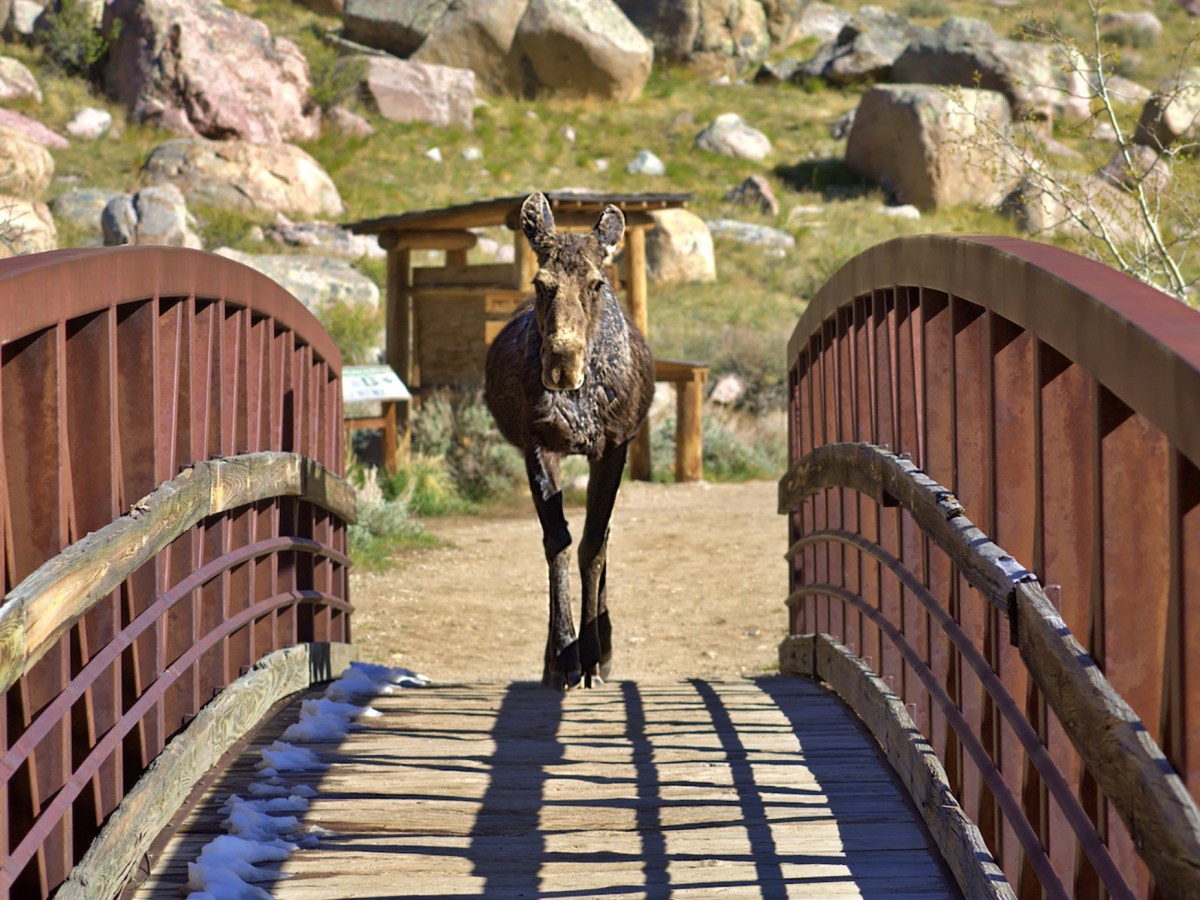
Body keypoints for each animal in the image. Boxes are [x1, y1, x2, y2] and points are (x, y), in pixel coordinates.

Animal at [484, 192, 654, 691]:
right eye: (542, 283)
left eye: (597, 284)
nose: (562, 363)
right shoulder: (537, 443)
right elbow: (556, 542)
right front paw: (562, 656)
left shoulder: (613, 446)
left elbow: (594, 543)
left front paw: (594, 655)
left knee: (606, 538)